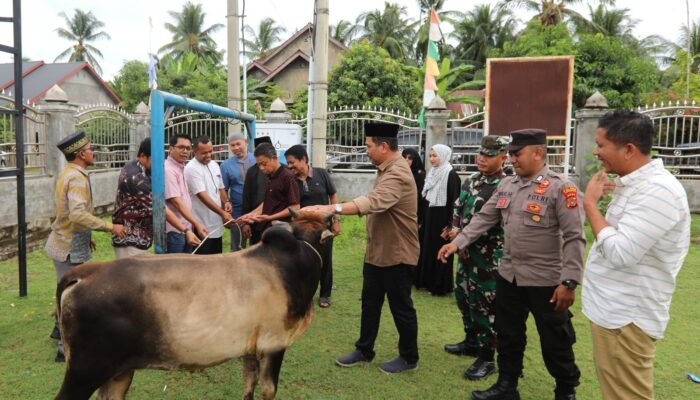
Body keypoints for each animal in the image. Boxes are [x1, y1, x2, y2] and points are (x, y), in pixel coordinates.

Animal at [54, 209, 334, 400]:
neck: (295, 261)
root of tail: (85, 273)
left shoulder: (251, 348)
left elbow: (249, 385)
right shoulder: (274, 343)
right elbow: (269, 389)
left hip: (117, 372)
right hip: (86, 370)